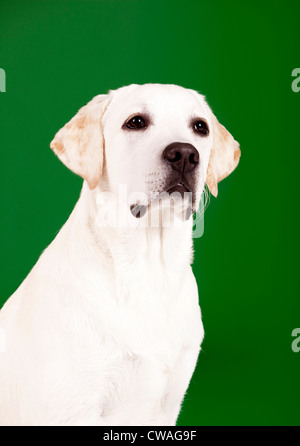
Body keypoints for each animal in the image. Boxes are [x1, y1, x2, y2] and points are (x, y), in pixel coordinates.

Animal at [0, 83, 239, 426]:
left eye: (200, 127)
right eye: (136, 122)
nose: (185, 154)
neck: (149, 267)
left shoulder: (168, 404)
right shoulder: (69, 410)